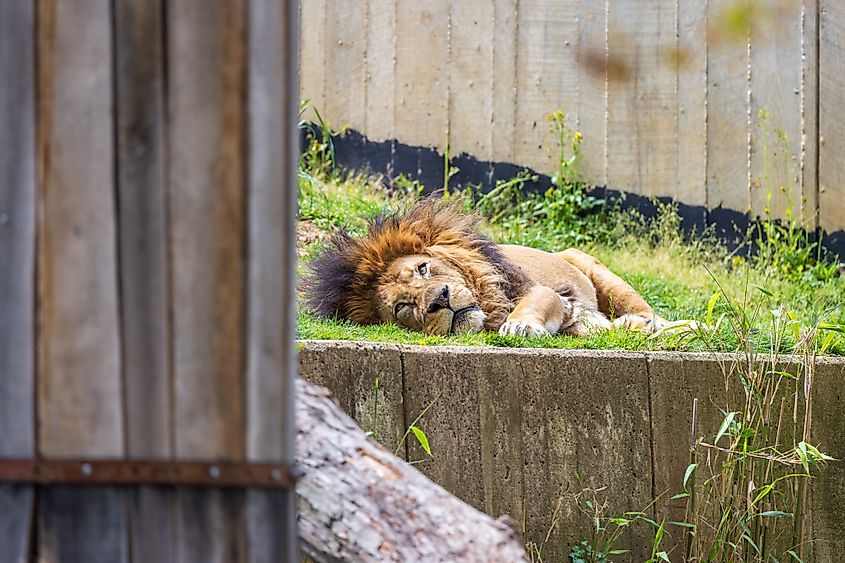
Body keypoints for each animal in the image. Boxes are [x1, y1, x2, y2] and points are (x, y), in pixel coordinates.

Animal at [307, 198, 684, 337]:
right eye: (403, 307)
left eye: (423, 269)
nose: (440, 299)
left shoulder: (534, 289)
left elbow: (538, 302)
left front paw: (520, 325)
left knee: (656, 316)